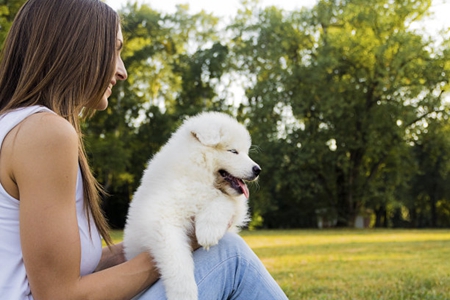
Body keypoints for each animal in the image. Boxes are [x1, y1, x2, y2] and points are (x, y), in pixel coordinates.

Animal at [123, 111, 260, 298]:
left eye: (246, 152)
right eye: (233, 151)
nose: (258, 170)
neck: (196, 172)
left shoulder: (234, 205)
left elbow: (223, 199)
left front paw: (208, 230)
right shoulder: (163, 220)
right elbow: (177, 261)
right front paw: (184, 293)